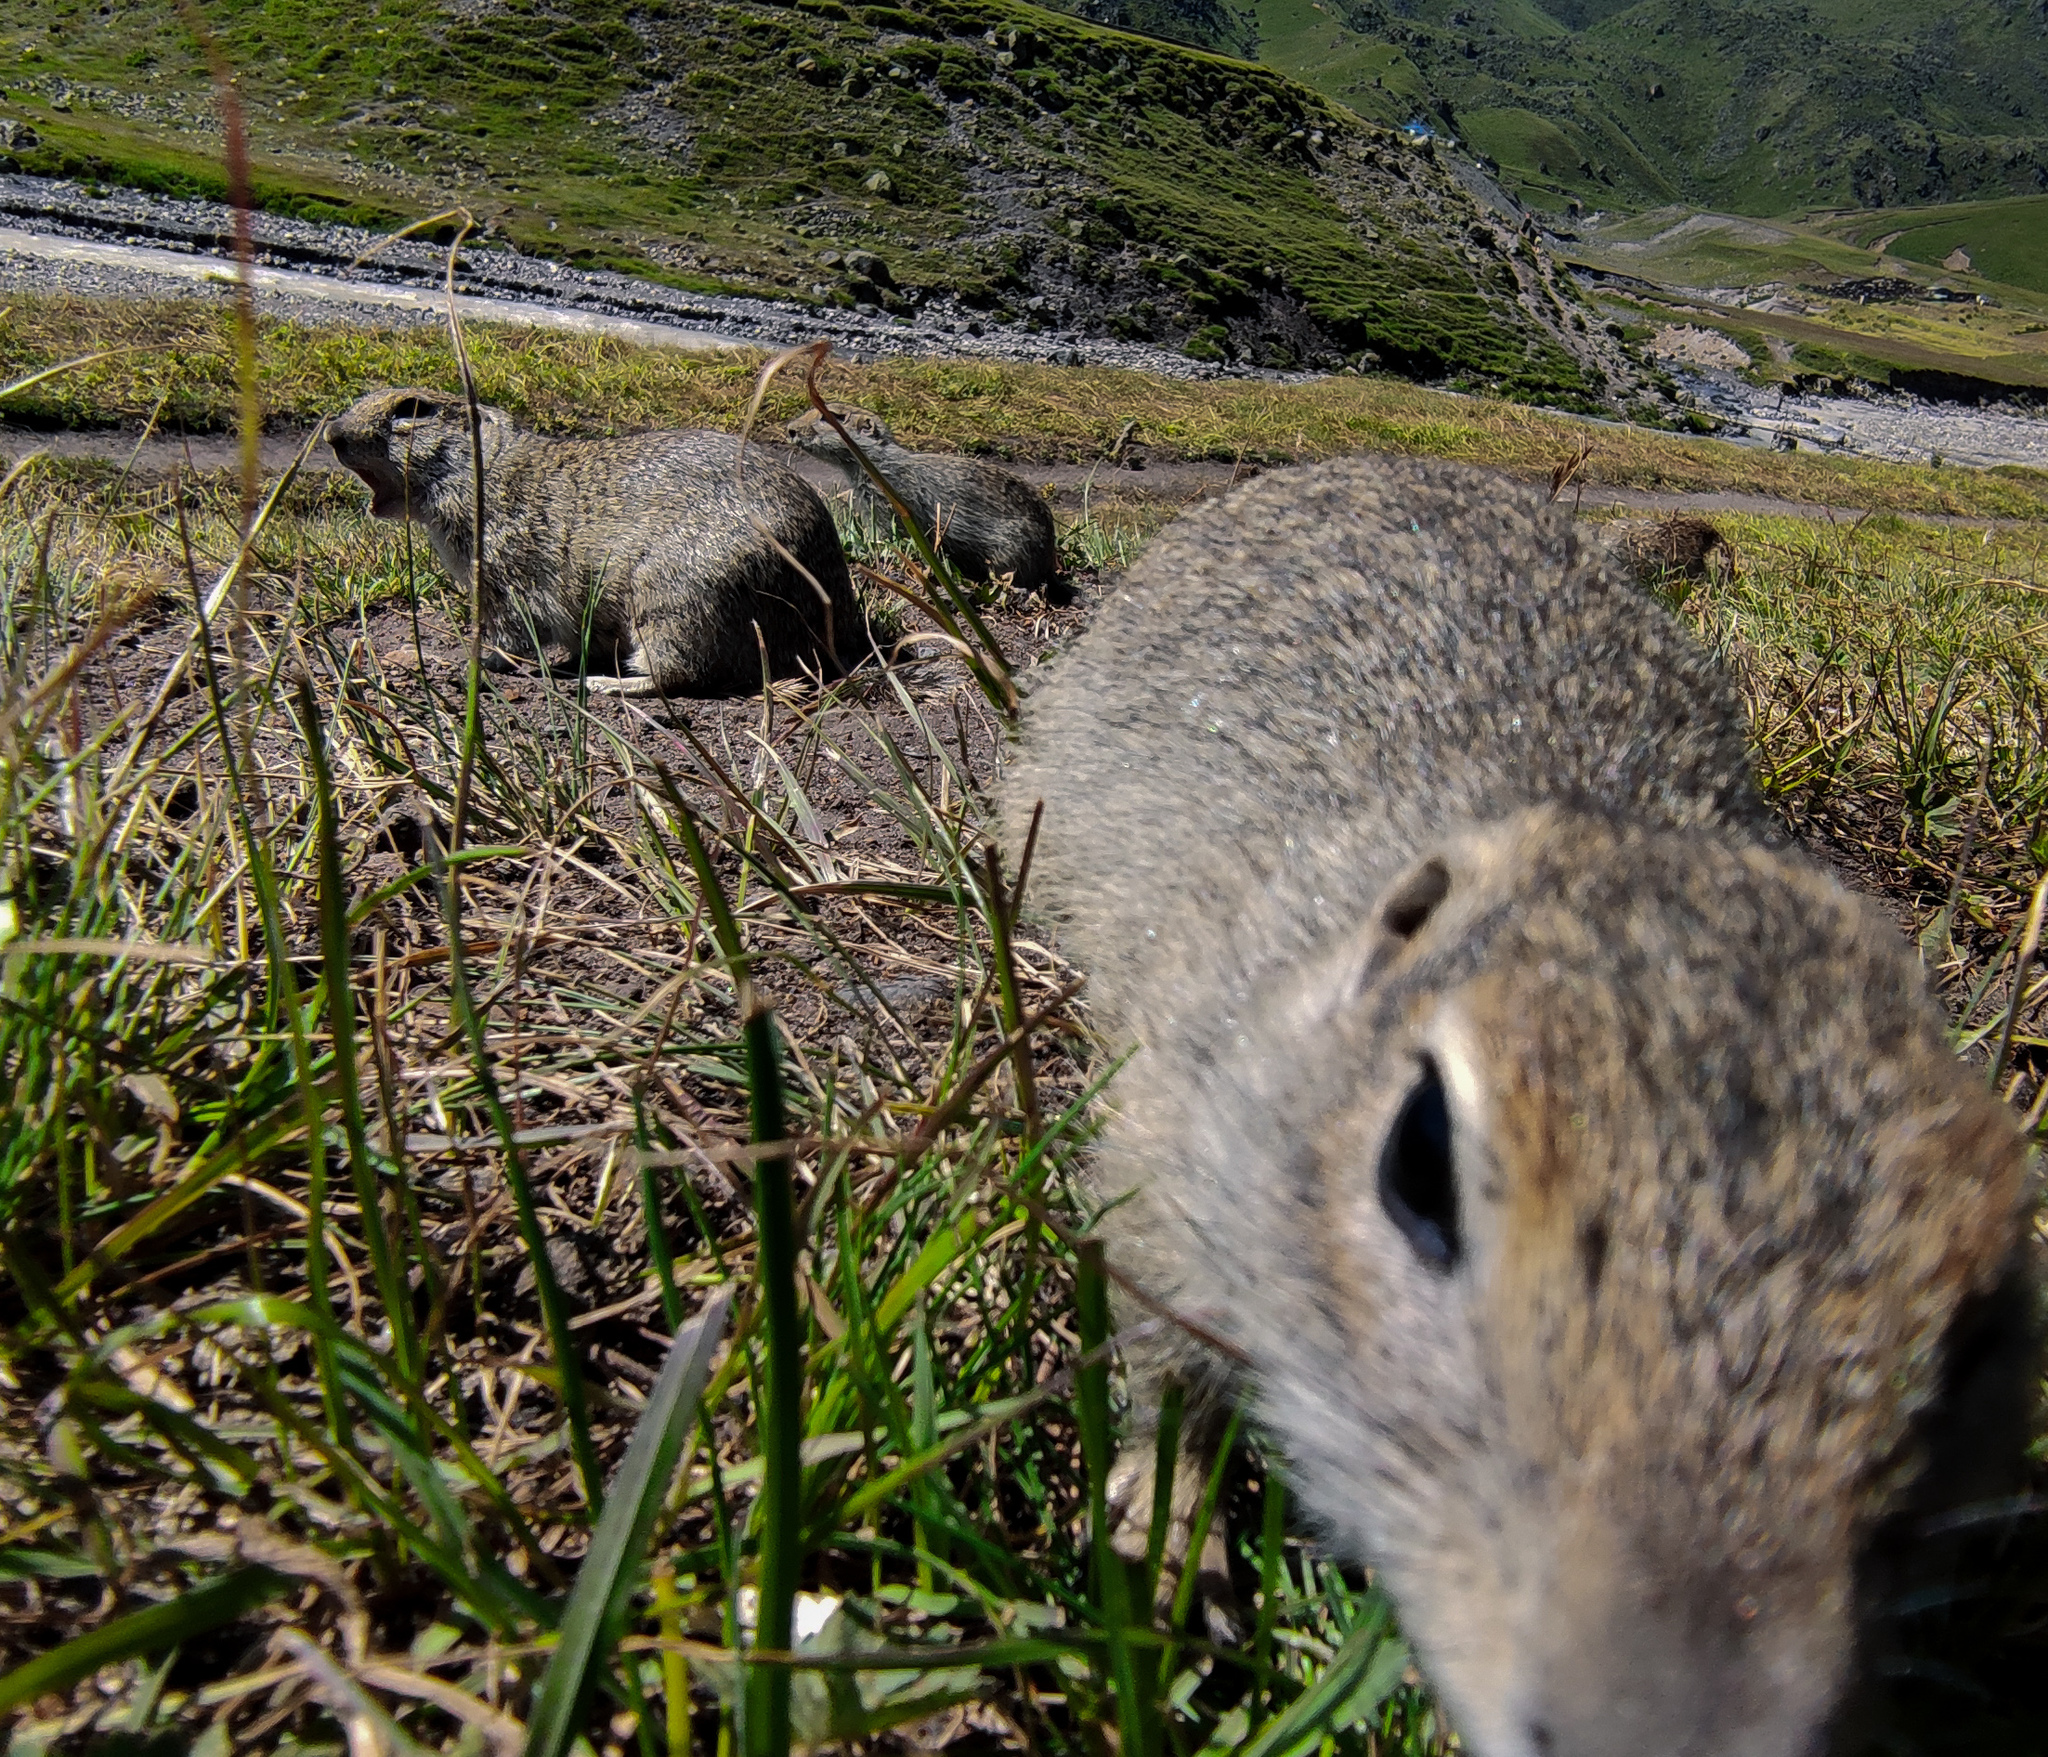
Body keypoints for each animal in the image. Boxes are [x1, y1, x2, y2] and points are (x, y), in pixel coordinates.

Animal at [331, 382, 860, 692]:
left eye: (413, 409)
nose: (334, 433)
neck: (484, 471)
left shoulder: (506, 575)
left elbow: (509, 635)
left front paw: (470, 665)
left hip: (673, 599)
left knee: (680, 673)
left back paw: (607, 684)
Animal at [782, 401, 1064, 597]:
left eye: (834, 416)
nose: (790, 429)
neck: (875, 464)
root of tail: (1048, 560)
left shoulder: (889, 502)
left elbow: (888, 535)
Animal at [1007, 454, 2031, 1752]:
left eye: (1982, 1333)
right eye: (1416, 1158)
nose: (1661, 1729)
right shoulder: (1163, 1144)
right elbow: (1158, 1361)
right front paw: (1162, 1543)